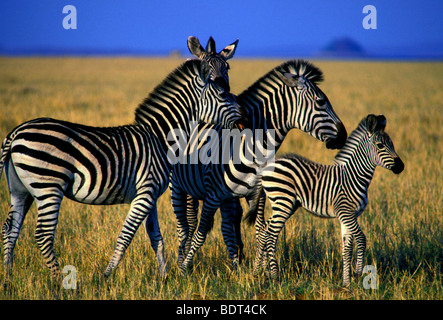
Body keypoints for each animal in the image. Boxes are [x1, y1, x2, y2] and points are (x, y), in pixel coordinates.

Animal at [0, 36, 245, 284]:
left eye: (227, 69)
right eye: (223, 95)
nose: (244, 120)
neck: (159, 137)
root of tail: (15, 133)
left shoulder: (150, 195)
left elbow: (156, 237)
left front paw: (164, 277)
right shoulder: (145, 193)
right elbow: (126, 236)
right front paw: (106, 275)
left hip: (22, 189)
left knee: (10, 229)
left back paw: (8, 279)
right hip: (48, 186)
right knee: (42, 234)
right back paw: (60, 281)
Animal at [170, 58, 346, 272]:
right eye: (320, 102)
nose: (344, 135)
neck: (248, 144)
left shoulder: (258, 194)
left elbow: (262, 232)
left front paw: (259, 270)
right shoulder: (213, 195)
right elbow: (201, 233)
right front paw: (183, 269)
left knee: (222, 226)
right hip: (177, 186)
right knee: (185, 226)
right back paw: (181, 260)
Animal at [246, 113, 406, 284]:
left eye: (392, 144)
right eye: (380, 146)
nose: (401, 167)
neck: (354, 176)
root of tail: (266, 168)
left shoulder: (348, 216)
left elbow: (346, 249)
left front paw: (346, 282)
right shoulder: (345, 212)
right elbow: (362, 239)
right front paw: (357, 272)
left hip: (285, 204)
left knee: (264, 230)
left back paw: (259, 271)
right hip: (283, 202)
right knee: (271, 235)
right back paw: (275, 276)